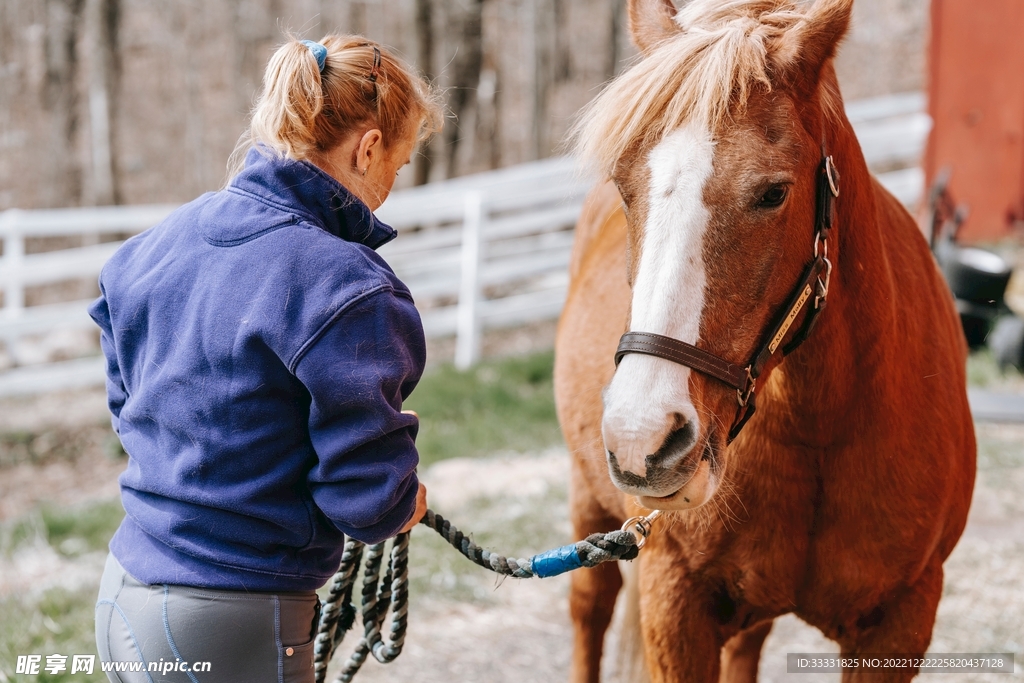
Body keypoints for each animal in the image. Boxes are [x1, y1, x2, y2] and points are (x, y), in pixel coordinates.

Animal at [553, 0, 976, 681]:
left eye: (773, 192)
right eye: (624, 187)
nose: (643, 439)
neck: (820, 428)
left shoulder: (900, 621)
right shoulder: (675, 607)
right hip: (589, 504)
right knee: (589, 611)